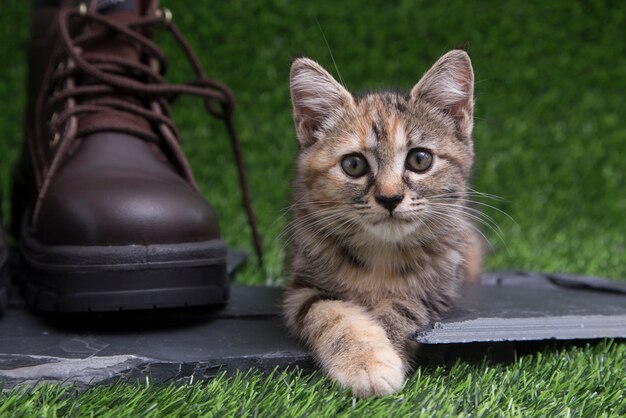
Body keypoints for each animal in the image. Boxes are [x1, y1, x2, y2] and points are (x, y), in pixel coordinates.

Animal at [282, 50, 478, 396]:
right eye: (354, 164)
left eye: (419, 159)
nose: (389, 197)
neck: (381, 253)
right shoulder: (301, 288)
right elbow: (332, 313)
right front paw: (364, 360)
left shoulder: (438, 290)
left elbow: (400, 308)